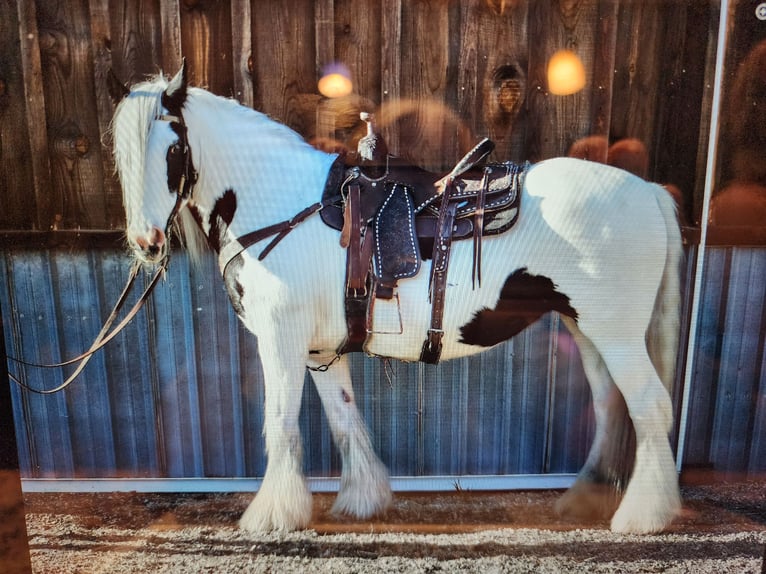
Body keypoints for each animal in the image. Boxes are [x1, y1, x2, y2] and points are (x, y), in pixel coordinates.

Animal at [109, 61, 683, 535]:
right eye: (122, 155)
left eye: (173, 150)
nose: (146, 242)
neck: (280, 202)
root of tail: (649, 192)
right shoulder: (318, 352)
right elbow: (344, 419)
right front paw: (362, 499)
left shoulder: (281, 339)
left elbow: (280, 423)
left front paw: (271, 514)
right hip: (586, 329)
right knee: (611, 406)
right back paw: (588, 498)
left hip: (616, 334)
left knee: (650, 407)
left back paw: (643, 516)